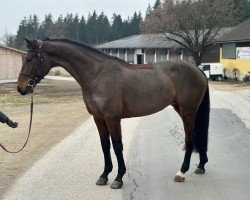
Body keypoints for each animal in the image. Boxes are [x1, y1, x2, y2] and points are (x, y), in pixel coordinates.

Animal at [16, 38, 210, 189]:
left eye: (29, 58)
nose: (21, 88)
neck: (97, 75)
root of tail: (198, 70)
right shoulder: (98, 118)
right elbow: (105, 146)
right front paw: (104, 175)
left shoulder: (112, 118)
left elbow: (117, 146)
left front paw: (118, 178)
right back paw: (200, 166)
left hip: (188, 111)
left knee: (190, 138)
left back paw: (181, 172)